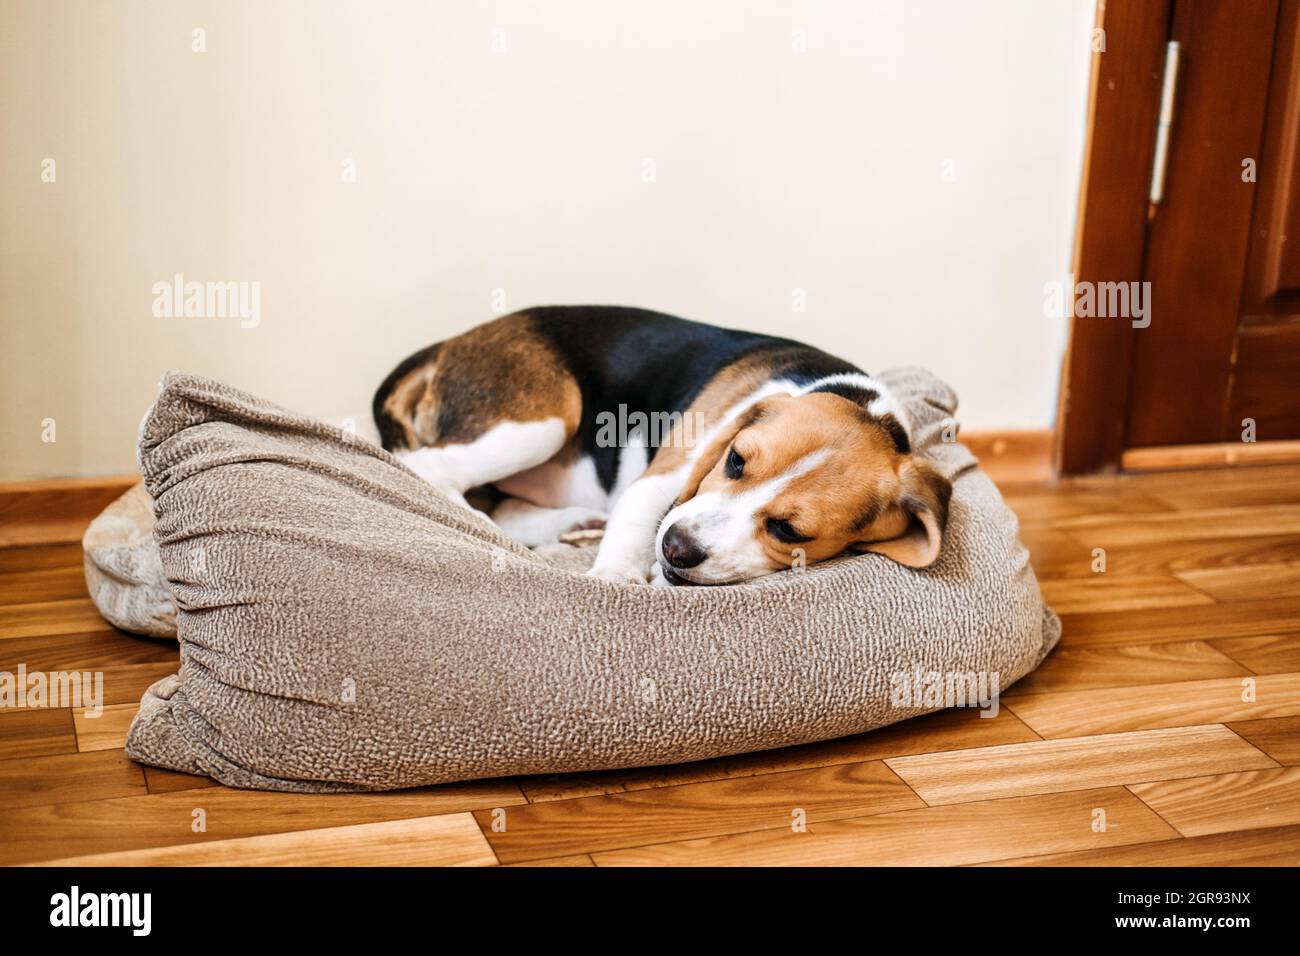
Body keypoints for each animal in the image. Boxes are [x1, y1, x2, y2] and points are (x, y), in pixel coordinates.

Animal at [371, 310, 951, 587]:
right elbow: (639, 513)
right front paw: (616, 577)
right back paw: (477, 526)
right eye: (735, 460)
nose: (676, 549)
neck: (863, 405)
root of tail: (446, 345)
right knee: (427, 467)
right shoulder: (667, 475)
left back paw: (570, 524)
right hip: (545, 420)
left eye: (789, 531)